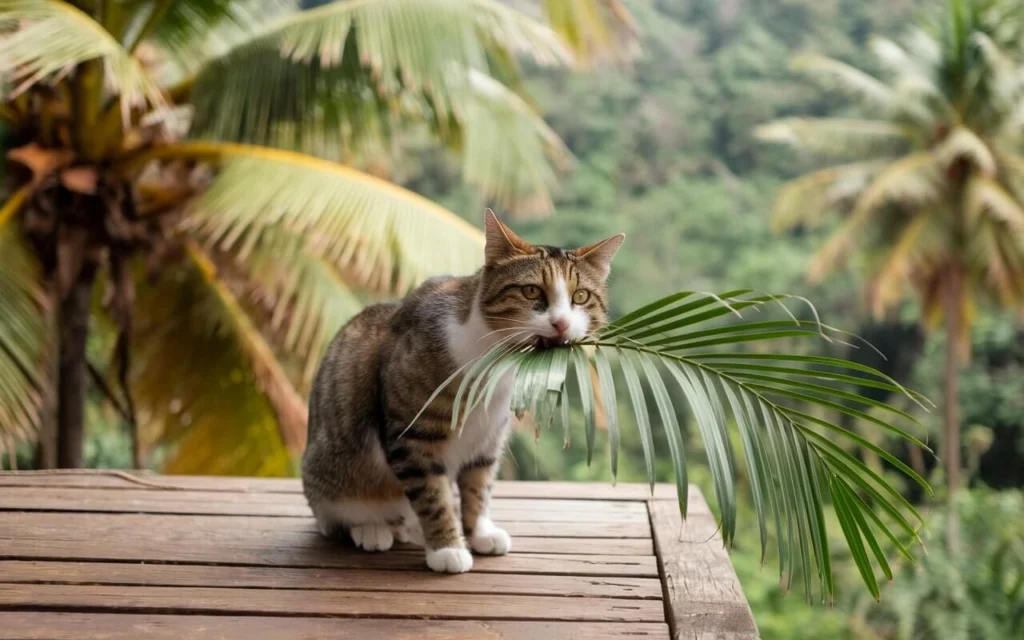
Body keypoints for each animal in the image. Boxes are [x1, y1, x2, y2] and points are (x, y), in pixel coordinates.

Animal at [301, 210, 622, 573]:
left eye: (580, 297)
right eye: (530, 291)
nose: (561, 323)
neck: (496, 362)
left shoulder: (488, 437)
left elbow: (478, 487)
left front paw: (478, 533)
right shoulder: (413, 437)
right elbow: (433, 495)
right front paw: (447, 547)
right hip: (333, 472)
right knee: (337, 515)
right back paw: (374, 528)